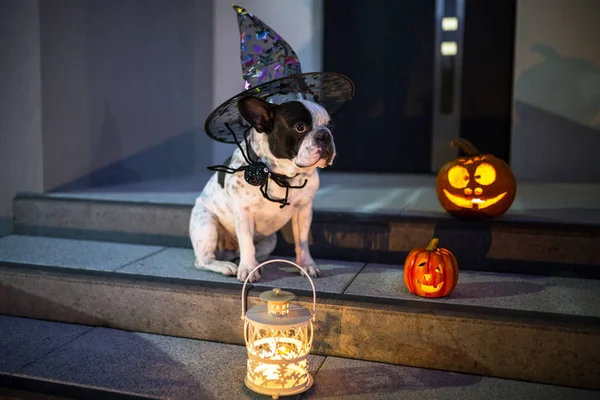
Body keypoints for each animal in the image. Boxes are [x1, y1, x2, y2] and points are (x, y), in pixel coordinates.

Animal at [190, 95, 336, 282]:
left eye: (331, 126)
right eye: (300, 127)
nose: (325, 134)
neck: (280, 175)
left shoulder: (303, 211)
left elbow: (302, 242)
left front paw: (306, 265)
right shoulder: (243, 212)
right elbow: (246, 242)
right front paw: (248, 269)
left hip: (270, 240)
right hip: (206, 223)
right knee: (204, 260)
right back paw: (227, 266)